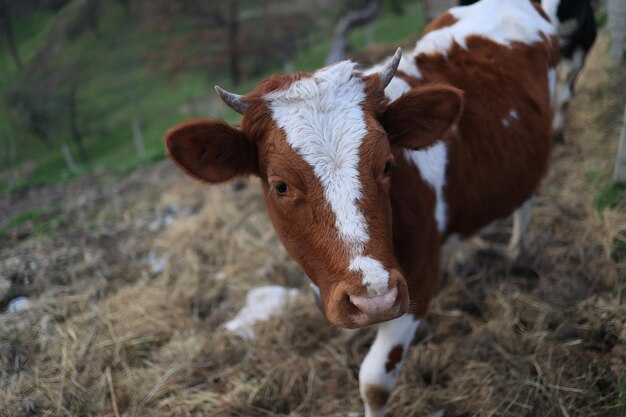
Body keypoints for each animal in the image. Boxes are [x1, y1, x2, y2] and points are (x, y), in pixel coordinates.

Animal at [162, 1, 556, 414]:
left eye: (387, 165)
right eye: (280, 185)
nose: (373, 299)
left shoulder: (412, 284)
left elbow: (374, 382)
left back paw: (516, 250)